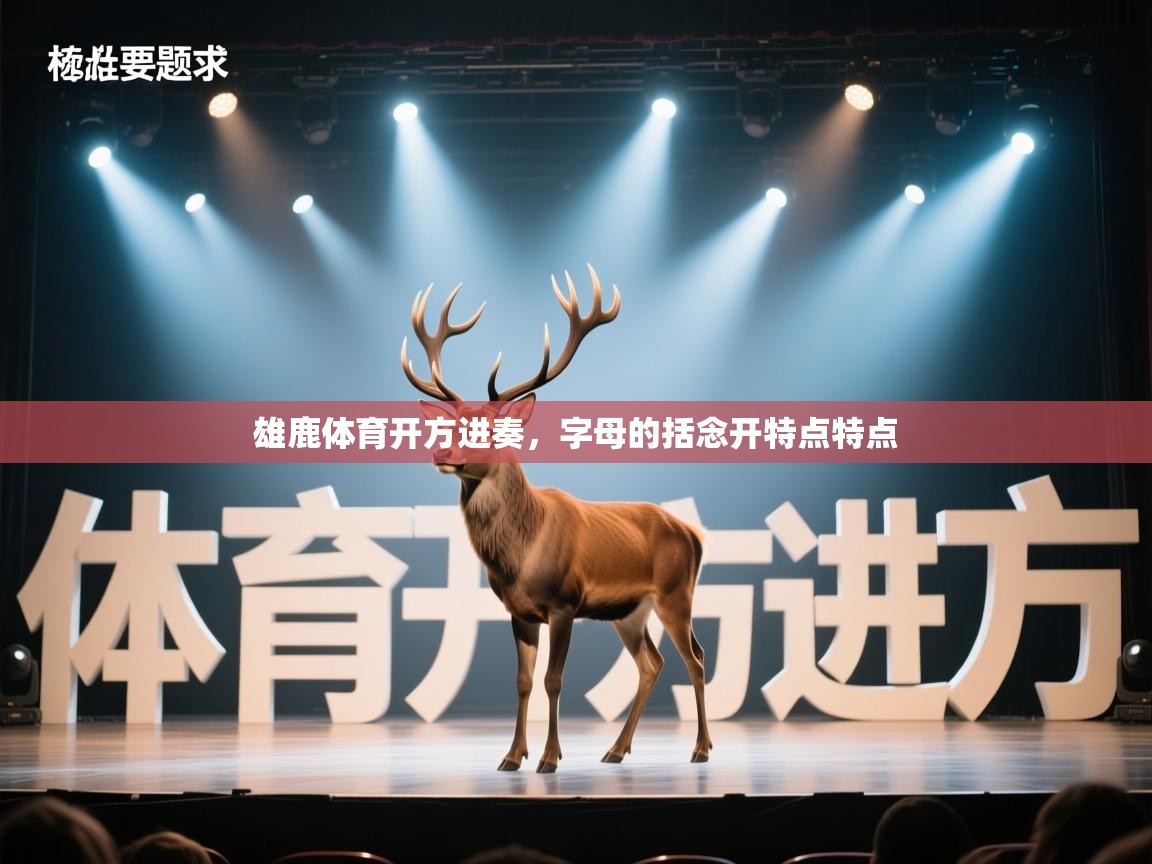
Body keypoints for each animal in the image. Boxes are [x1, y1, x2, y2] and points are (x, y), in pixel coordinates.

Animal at [401, 264, 711, 773]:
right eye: (451, 422)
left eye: (490, 427)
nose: (441, 453)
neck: (520, 558)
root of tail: (693, 533)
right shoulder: (518, 611)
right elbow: (523, 681)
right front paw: (512, 755)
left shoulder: (564, 601)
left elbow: (553, 679)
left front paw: (549, 758)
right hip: (630, 611)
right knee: (652, 664)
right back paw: (616, 750)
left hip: (675, 594)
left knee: (695, 659)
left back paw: (701, 749)